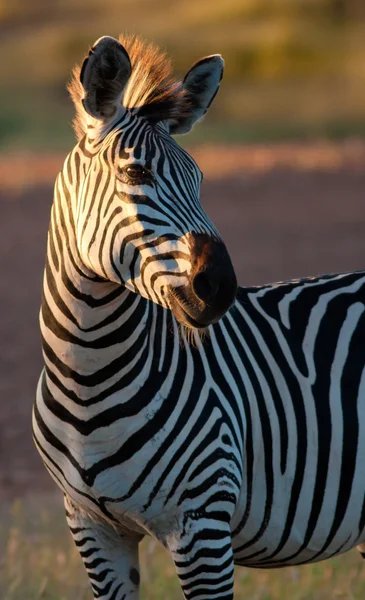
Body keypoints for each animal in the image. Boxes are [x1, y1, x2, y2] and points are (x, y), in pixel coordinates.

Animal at [32, 34, 364, 600]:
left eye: (200, 179)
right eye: (135, 172)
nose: (222, 287)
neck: (87, 375)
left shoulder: (202, 524)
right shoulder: (92, 530)